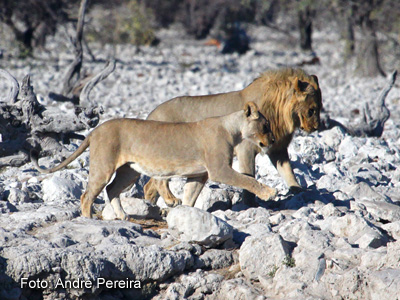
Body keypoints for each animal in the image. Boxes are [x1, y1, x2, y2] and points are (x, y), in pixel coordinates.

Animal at [32, 102, 276, 219]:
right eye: (265, 126)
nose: (273, 140)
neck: (233, 129)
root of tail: (95, 130)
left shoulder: (200, 174)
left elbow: (191, 195)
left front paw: (184, 213)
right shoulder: (219, 169)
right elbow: (247, 179)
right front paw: (269, 193)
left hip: (129, 171)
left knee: (112, 189)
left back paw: (122, 216)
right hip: (104, 166)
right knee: (87, 195)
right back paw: (88, 218)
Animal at [144, 68, 322, 207]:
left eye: (320, 108)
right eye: (312, 110)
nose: (316, 127)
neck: (280, 113)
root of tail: (151, 114)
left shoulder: (277, 148)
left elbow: (288, 172)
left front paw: (298, 191)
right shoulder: (246, 149)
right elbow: (249, 175)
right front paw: (251, 203)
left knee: (148, 186)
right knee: (157, 181)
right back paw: (169, 201)